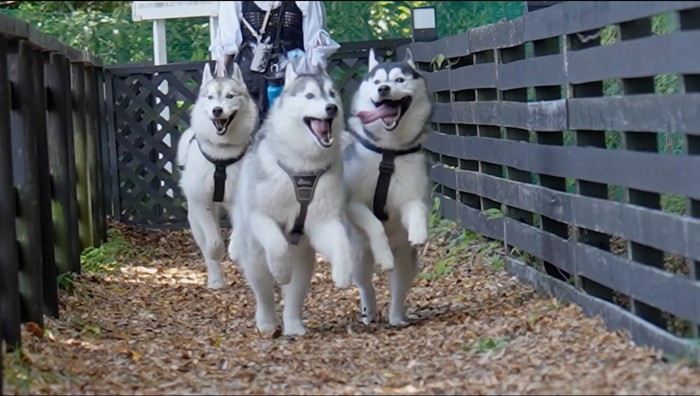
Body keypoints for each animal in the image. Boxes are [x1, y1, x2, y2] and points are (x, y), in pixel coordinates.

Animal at [176, 62, 258, 290]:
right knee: (205, 242)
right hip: (195, 217)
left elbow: (237, 236)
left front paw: (235, 250)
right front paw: (216, 254)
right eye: (210, 97)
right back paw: (215, 280)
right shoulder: (202, 201)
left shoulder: (239, 200)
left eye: (230, 96)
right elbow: (213, 243)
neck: (222, 154)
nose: (217, 110)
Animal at [231, 63, 352, 336]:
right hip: (255, 256)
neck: (303, 165)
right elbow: (277, 245)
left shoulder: (323, 221)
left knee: (295, 292)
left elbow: (342, 242)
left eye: (332, 94)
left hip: (304, 259)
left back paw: (294, 325)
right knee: (263, 290)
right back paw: (266, 321)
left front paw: (343, 272)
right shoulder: (261, 216)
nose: (332, 108)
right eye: (310, 96)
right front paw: (281, 270)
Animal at [344, 49, 434, 326]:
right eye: (376, 82)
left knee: (399, 287)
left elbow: (416, 208)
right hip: (358, 256)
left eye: (399, 79)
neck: (389, 152)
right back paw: (369, 311)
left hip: (405, 259)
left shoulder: (412, 195)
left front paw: (419, 231)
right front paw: (383, 253)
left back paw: (396, 316)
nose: (383, 89)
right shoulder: (353, 202)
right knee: (365, 284)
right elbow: (374, 223)